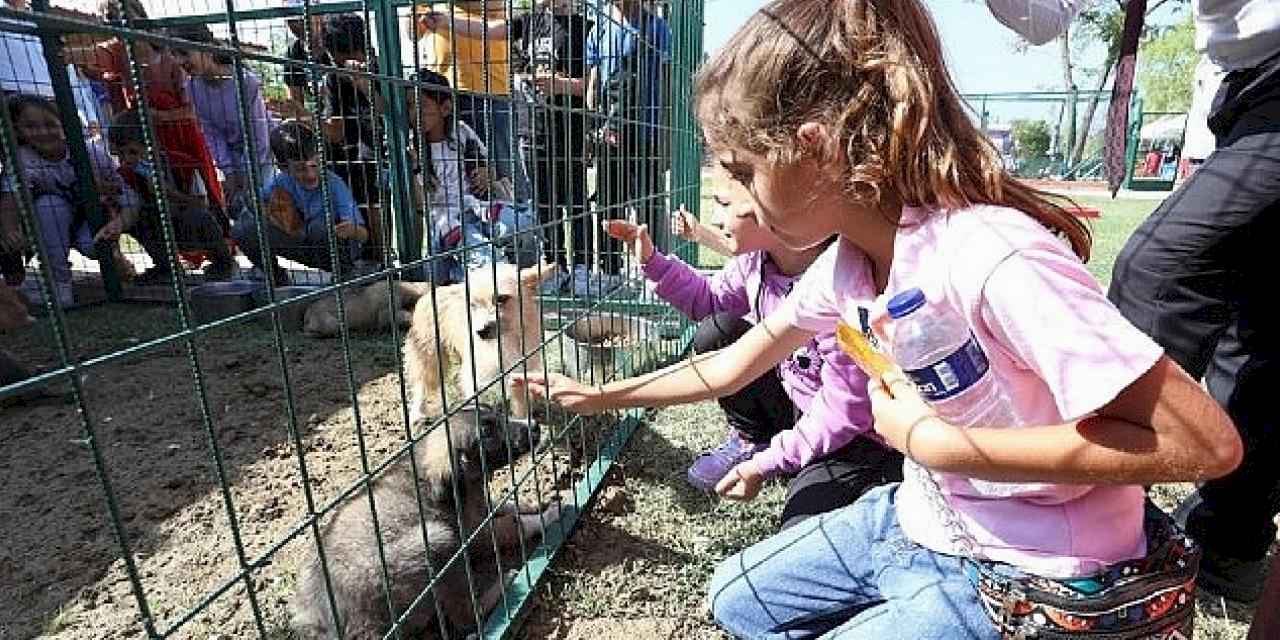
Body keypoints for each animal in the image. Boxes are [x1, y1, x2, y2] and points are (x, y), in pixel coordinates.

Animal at [294, 404, 565, 640]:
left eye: (495, 412)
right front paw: (549, 515)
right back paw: (505, 584)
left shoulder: (479, 510)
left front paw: (530, 504)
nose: (535, 425)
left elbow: (502, 505)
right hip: (439, 541)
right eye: (487, 432)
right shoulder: (473, 534)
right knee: (466, 617)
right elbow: (515, 524)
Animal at [404, 262, 555, 422]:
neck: (504, 341)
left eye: (501, 298)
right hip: (429, 357)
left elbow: (521, 405)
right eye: (473, 304)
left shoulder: (519, 372)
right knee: (421, 384)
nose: (480, 332)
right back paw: (416, 413)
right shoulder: (474, 376)